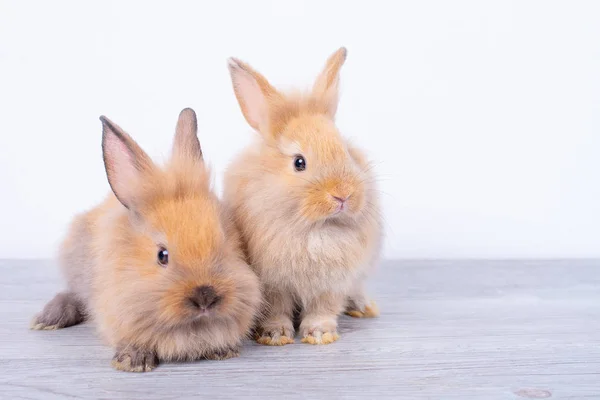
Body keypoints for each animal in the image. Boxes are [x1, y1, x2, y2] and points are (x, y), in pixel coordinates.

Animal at [29, 108, 260, 370]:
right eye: (162, 255)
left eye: (224, 241)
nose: (205, 297)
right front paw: (132, 362)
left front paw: (223, 351)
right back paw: (47, 319)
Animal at [223, 47, 382, 346]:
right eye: (299, 162)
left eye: (345, 151)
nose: (343, 195)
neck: (314, 231)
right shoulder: (273, 285)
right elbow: (276, 310)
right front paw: (274, 335)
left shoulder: (332, 284)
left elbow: (323, 309)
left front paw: (319, 334)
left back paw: (364, 308)